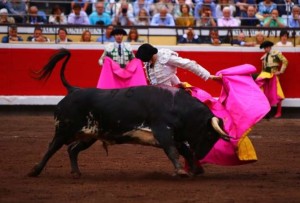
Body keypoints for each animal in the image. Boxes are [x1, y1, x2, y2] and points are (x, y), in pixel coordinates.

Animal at [28, 48, 230, 178]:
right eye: (210, 135)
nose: (202, 155)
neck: (177, 106)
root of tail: (73, 90)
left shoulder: (176, 136)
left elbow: (184, 150)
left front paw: (195, 170)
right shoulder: (163, 131)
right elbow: (172, 150)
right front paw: (181, 171)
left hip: (90, 135)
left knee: (72, 149)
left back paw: (76, 173)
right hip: (64, 129)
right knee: (52, 147)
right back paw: (35, 171)